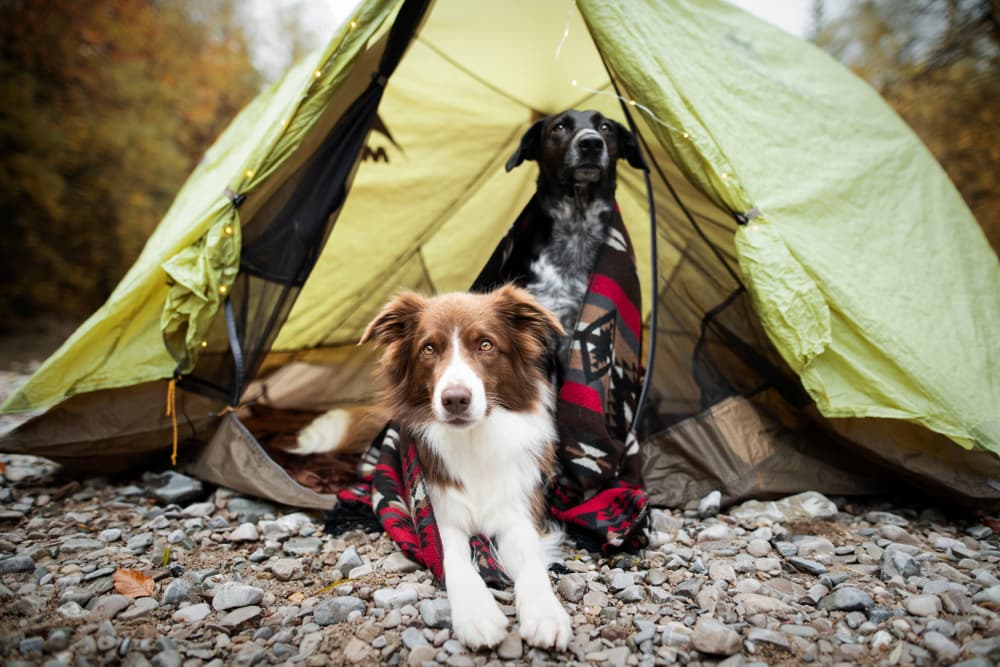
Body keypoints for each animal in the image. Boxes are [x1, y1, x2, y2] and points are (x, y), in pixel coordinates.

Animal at [292, 286, 572, 648]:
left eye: (485, 344)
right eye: (428, 348)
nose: (455, 399)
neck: (472, 439)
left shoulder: (518, 512)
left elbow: (532, 565)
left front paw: (545, 614)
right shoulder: (441, 517)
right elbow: (453, 560)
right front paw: (477, 614)